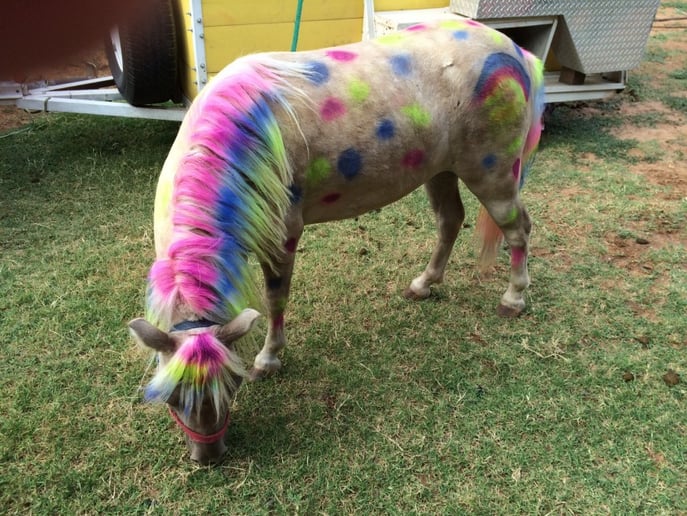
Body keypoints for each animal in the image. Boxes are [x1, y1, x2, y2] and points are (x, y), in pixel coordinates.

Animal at [128, 19, 545, 464]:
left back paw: (513, 298)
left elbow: (276, 299)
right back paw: (424, 284)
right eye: (170, 397)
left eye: (233, 385)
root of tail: (514, 51)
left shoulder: (283, 235)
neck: (239, 135)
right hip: (441, 170)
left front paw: (269, 358)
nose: (208, 456)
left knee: (518, 230)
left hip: (493, 174)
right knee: (451, 221)